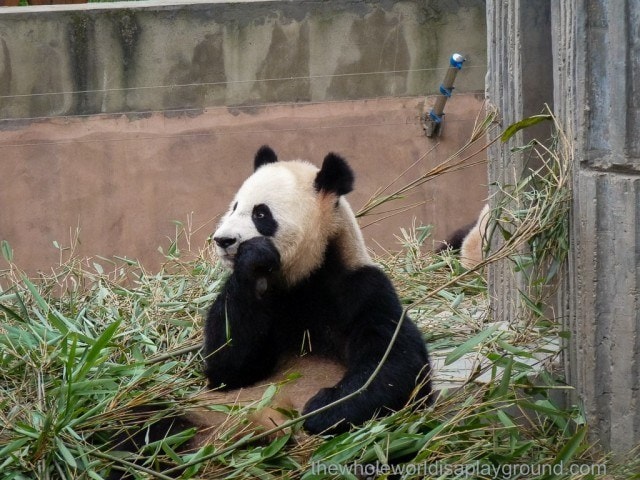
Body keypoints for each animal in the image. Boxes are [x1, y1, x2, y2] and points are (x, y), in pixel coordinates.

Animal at [202, 144, 436, 434]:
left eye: (261, 214)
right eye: (234, 207)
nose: (223, 240)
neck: (305, 276)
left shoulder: (361, 288)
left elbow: (396, 361)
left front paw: (323, 410)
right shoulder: (273, 298)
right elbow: (229, 365)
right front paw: (253, 261)